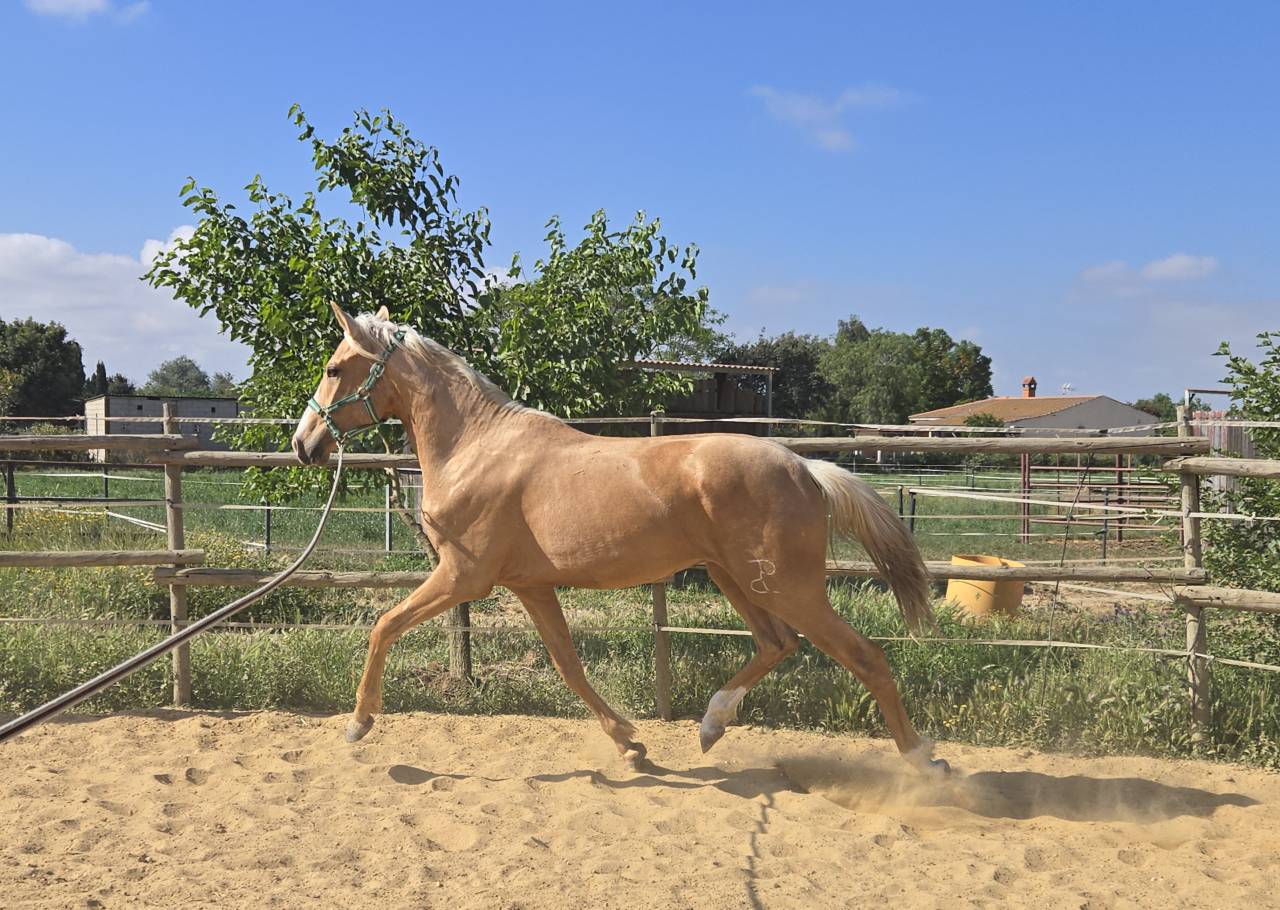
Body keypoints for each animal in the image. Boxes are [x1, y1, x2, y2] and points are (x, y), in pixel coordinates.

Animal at [291, 302, 949, 776]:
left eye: (332, 369)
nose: (304, 444)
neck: (476, 446)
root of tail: (805, 467)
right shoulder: (529, 586)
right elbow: (569, 666)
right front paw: (631, 745)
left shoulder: (463, 576)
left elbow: (383, 625)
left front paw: (358, 724)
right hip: (734, 577)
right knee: (777, 643)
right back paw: (710, 726)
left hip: (789, 586)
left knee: (865, 656)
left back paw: (923, 761)